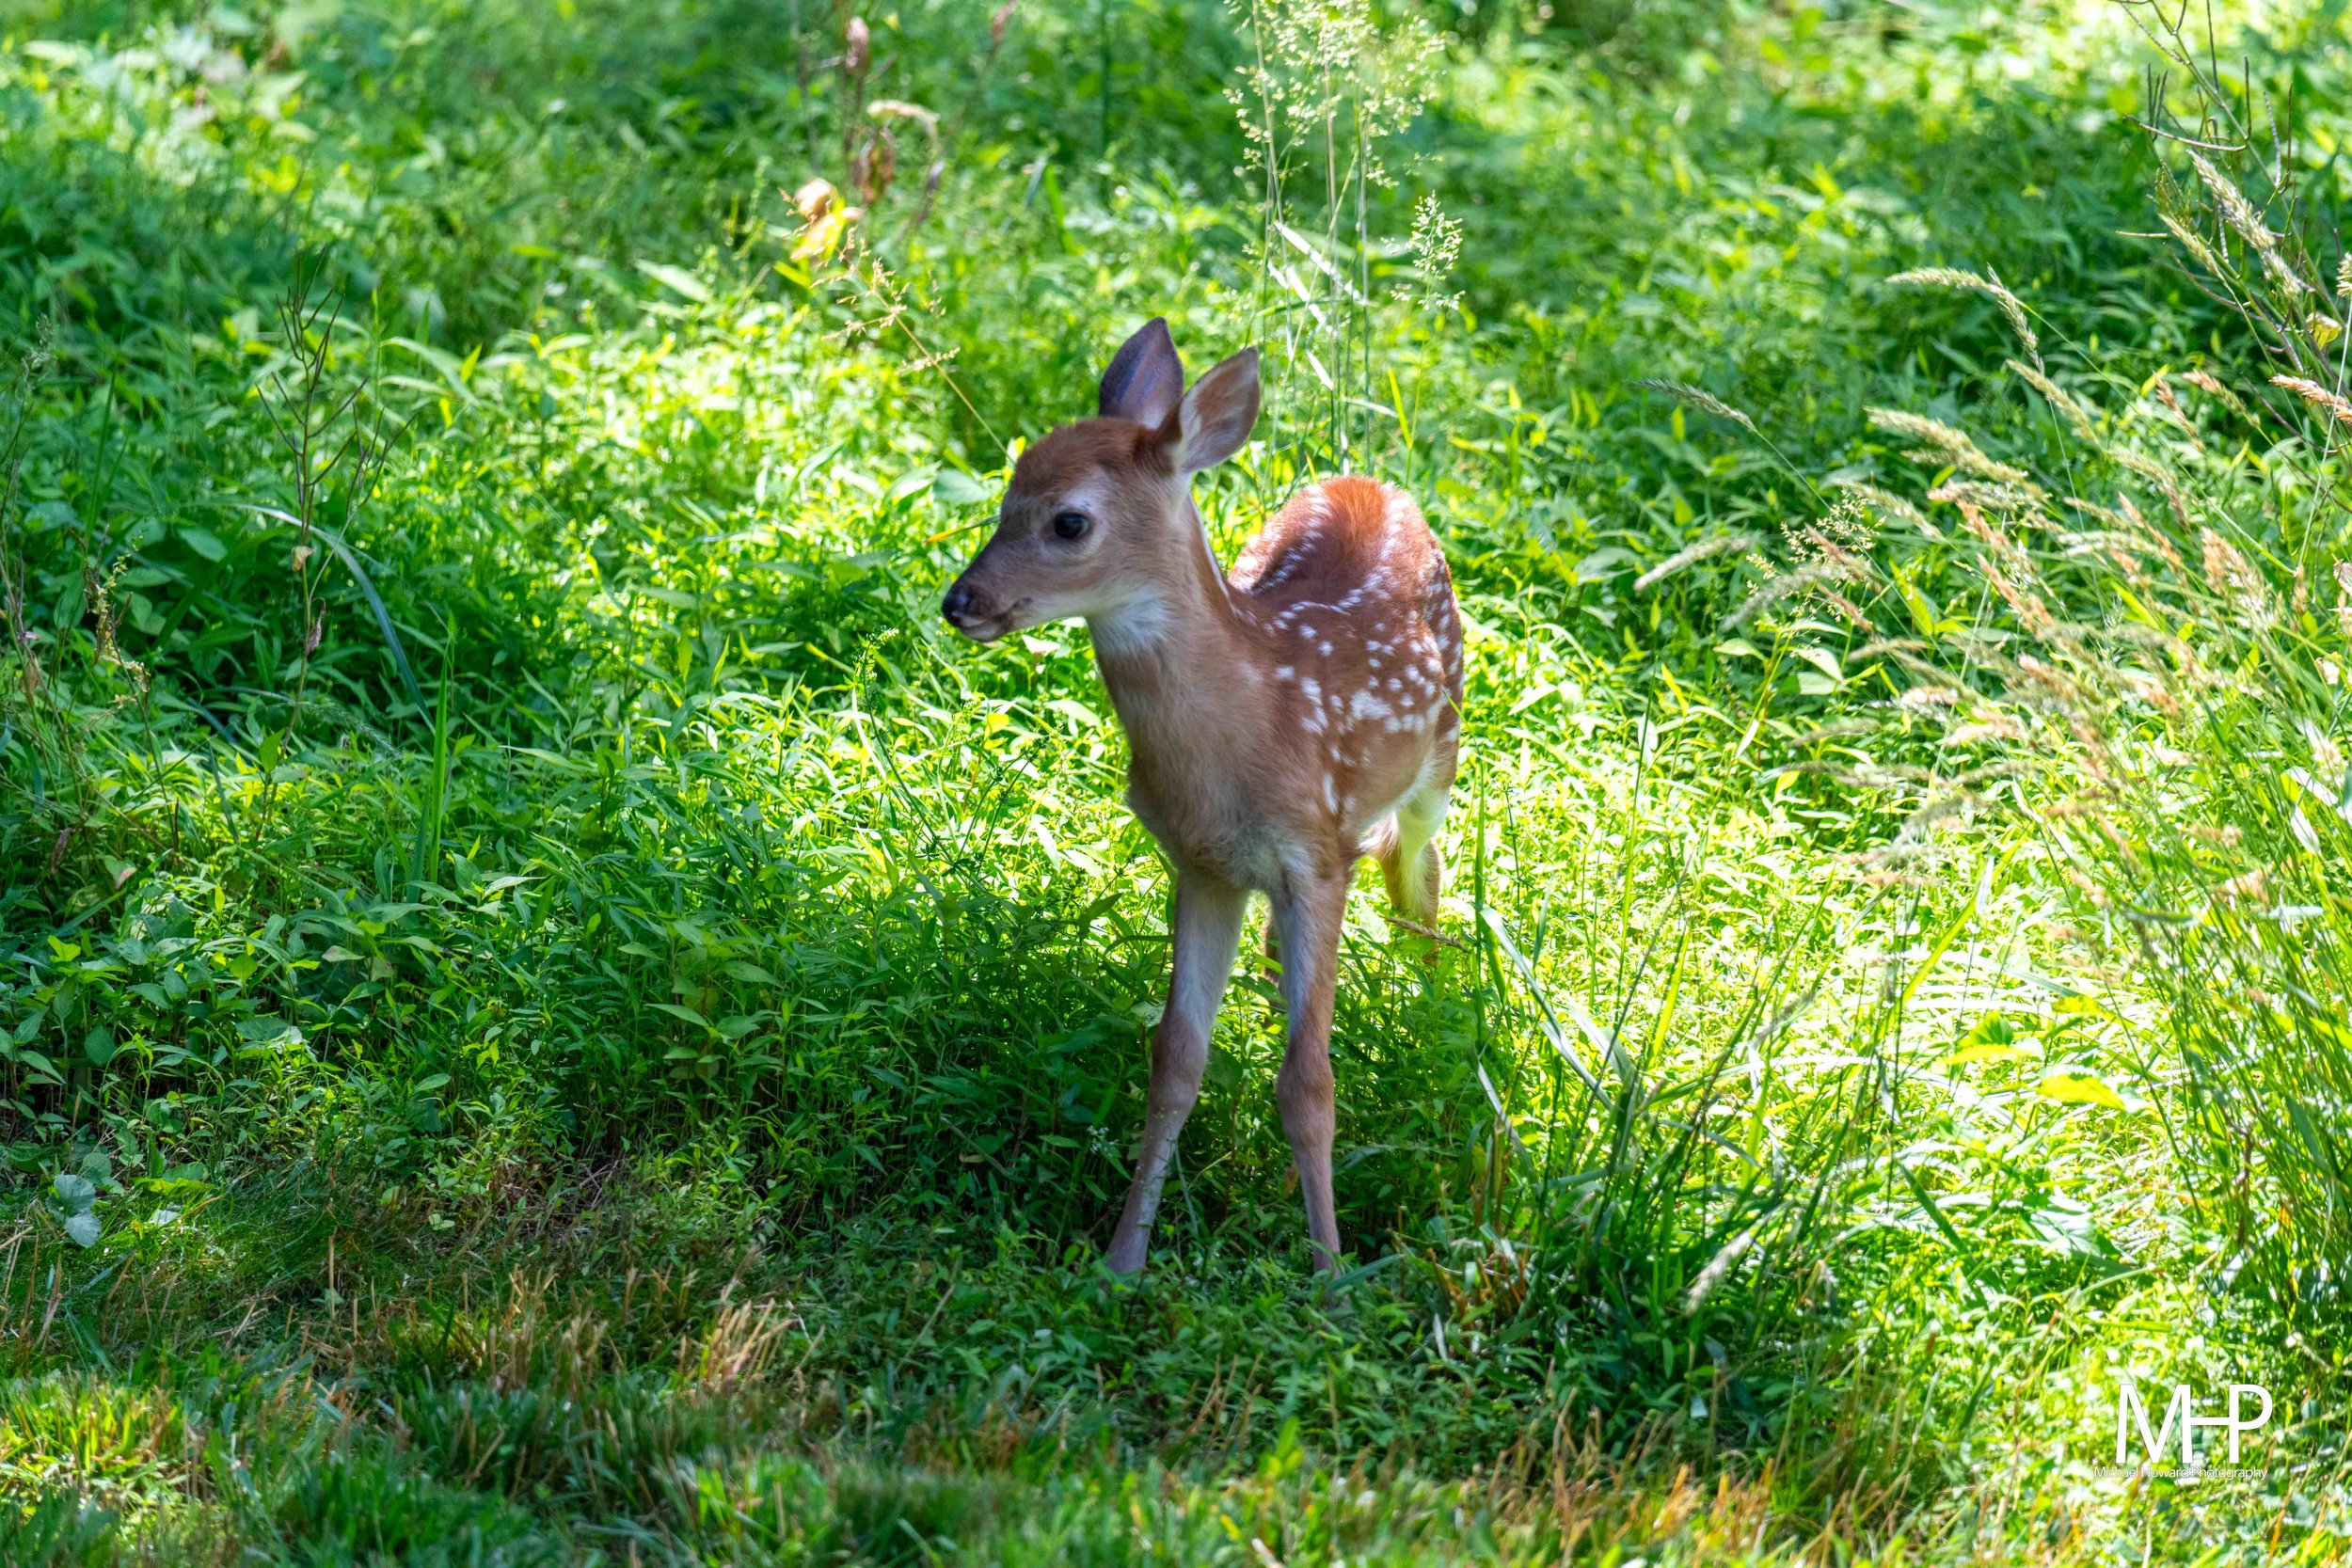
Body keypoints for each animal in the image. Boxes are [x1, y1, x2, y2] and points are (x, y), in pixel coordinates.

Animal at [940, 318, 1464, 1274]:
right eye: (1004, 497)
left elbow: (1309, 1083)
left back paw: (1440, 1017)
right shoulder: (1202, 864)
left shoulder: (1312, 856)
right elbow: (1175, 1059)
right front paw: (1121, 1261)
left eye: (1069, 520)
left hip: (1440, 753)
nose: (962, 601)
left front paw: (1331, 1274)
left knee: (1420, 872)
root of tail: (1369, 482)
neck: (1247, 727)